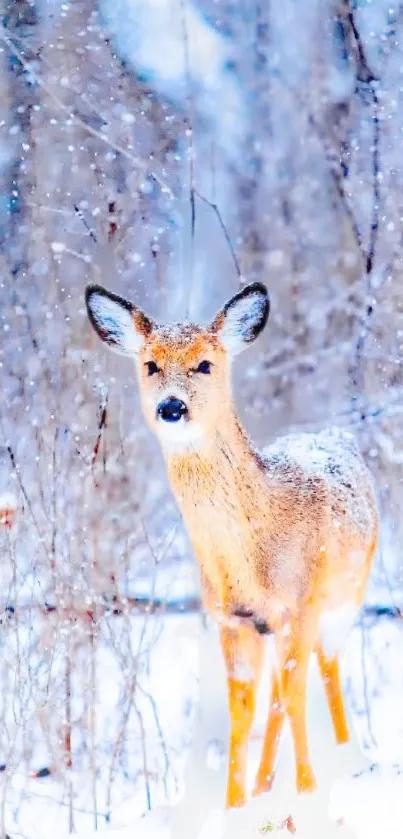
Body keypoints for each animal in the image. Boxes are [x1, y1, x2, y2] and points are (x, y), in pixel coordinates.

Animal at [84, 282, 378, 812]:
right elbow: (244, 711)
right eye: (150, 364)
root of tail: (334, 433)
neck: (251, 555)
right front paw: (236, 807)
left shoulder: (302, 602)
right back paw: (265, 786)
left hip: (347, 596)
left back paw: (347, 758)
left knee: (325, 668)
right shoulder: (231, 618)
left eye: (205, 364)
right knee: (279, 689)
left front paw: (306, 797)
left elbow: (295, 696)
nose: (171, 407)